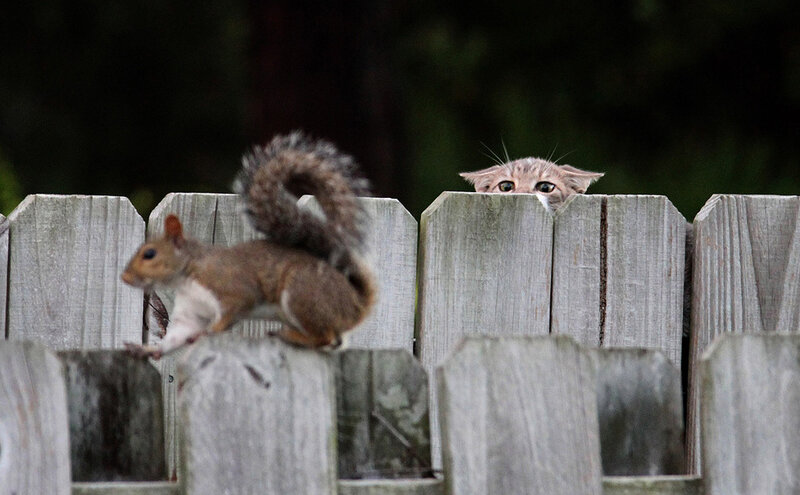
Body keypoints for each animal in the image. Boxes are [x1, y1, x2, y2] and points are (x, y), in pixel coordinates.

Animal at [121, 132, 375, 359]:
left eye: (149, 254)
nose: (124, 277)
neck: (187, 274)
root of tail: (356, 302)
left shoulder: (232, 288)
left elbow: (230, 313)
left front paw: (208, 332)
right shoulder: (191, 312)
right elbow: (178, 335)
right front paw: (147, 350)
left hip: (303, 293)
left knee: (325, 337)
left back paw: (289, 336)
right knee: (333, 341)